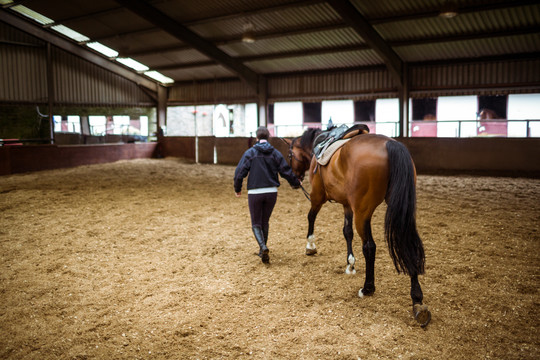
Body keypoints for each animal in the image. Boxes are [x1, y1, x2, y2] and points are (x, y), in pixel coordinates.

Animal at [286, 129, 430, 326]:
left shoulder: (317, 197)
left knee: (369, 246)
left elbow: (311, 217)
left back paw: (367, 288)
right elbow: (347, 232)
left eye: (290, 154)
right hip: (402, 210)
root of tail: (391, 145)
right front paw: (350, 264)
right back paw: (417, 300)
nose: (294, 180)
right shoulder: (347, 204)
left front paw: (310, 246)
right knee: (407, 244)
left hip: (362, 212)